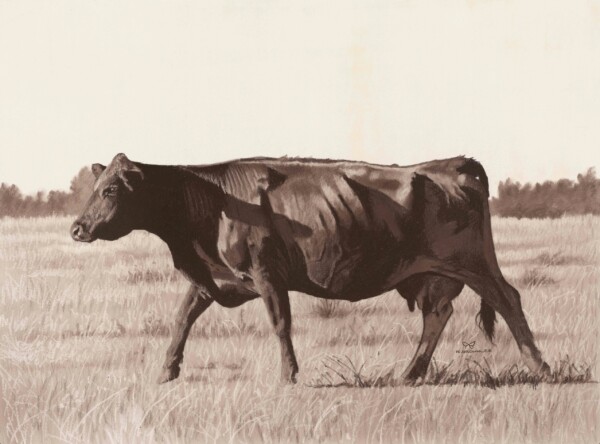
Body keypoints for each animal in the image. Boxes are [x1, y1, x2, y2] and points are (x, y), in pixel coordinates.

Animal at [71, 153, 550, 384]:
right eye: (95, 186)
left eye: (111, 189)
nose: (77, 227)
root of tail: (453, 163)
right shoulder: (213, 280)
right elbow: (181, 319)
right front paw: (167, 371)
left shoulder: (267, 275)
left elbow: (280, 323)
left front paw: (289, 375)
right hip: (437, 275)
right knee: (438, 316)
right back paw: (410, 375)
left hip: (473, 263)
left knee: (508, 300)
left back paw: (540, 367)